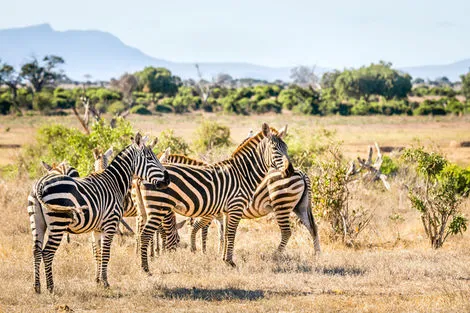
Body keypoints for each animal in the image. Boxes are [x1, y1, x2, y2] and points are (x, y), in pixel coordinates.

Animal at [28, 133, 171, 292]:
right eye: (150, 158)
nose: (168, 179)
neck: (115, 183)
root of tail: (40, 185)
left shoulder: (97, 228)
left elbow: (98, 253)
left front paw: (97, 280)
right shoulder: (110, 224)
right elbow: (106, 254)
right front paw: (105, 282)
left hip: (37, 222)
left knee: (36, 251)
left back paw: (37, 288)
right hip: (58, 223)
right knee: (47, 252)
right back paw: (51, 288)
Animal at [136, 121, 292, 270]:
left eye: (286, 148)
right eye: (275, 149)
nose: (289, 170)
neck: (243, 174)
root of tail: (141, 176)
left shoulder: (228, 210)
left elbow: (226, 235)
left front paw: (224, 259)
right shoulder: (236, 207)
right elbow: (231, 234)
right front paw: (230, 262)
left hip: (145, 210)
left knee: (141, 232)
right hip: (158, 207)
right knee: (145, 234)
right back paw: (145, 268)